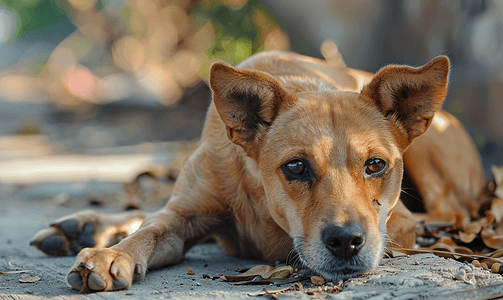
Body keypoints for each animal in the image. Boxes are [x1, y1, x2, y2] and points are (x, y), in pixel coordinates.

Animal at [29, 50, 486, 292]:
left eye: (376, 165)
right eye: (296, 167)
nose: (346, 243)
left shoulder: (399, 221)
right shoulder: (184, 214)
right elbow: (151, 228)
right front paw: (113, 253)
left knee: (448, 212)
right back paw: (85, 228)